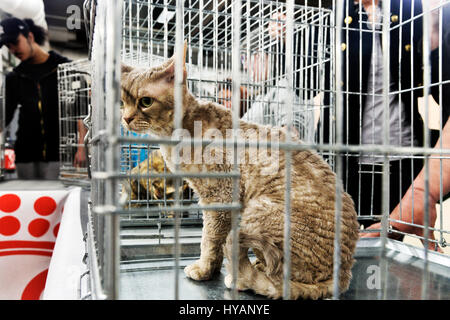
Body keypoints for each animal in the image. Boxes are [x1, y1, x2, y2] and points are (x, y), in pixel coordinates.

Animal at [119, 43, 358, 298]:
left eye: (145, 101)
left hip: (258, 212)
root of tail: (343, 274)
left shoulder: (219, 197)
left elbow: (210, 238)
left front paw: (204, 269)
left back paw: (243, 276)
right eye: (122, 102)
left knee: (281, 275)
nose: (125, 118)